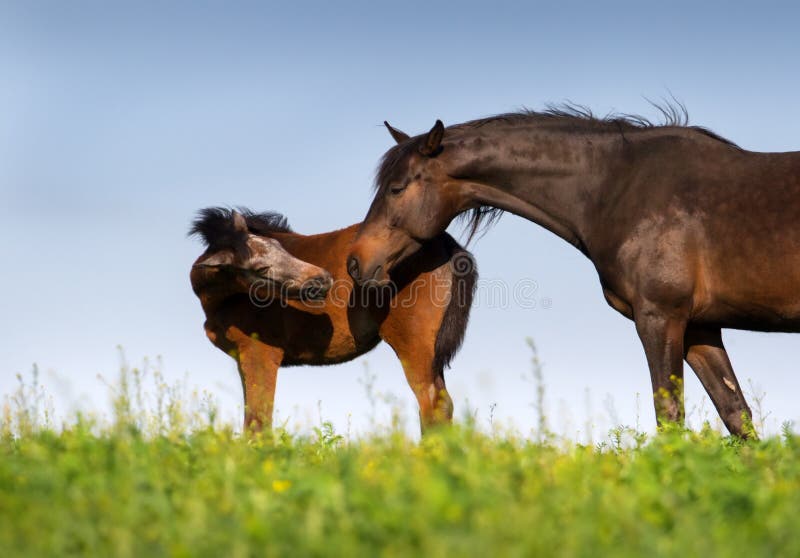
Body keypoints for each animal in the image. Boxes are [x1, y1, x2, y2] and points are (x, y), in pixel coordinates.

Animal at [188, 208, 476, 430]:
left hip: (414, 344)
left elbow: (258, 422)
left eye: (280, 247)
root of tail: (444, 242)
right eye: (260, 269)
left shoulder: (259, 352)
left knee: (432, 403)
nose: (322, 278)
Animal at [348, 104, 800, 438]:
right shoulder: (700, 327)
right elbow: (736, 414)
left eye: (397, 188)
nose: (355, 261)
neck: (620, 189)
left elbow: (669, 415)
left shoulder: (660, 317)